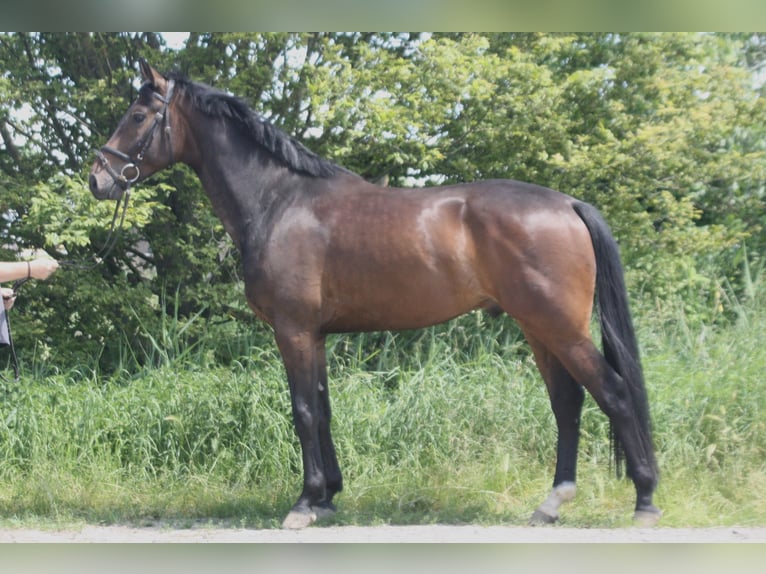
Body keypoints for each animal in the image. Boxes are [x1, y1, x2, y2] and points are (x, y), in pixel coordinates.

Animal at [88, 59, 660, 532]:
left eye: (138, 115)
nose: (99, 178)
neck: (280, 201)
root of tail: (567, 204)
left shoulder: (293, 331)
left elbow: (302, 410)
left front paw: (304, 504)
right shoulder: (316, 335)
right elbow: (322, 409)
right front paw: (327, 498)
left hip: (559, 328)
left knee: (613, 393)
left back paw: (645, 501)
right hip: (539, 329)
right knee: (568, 402)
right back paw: (552, 503)